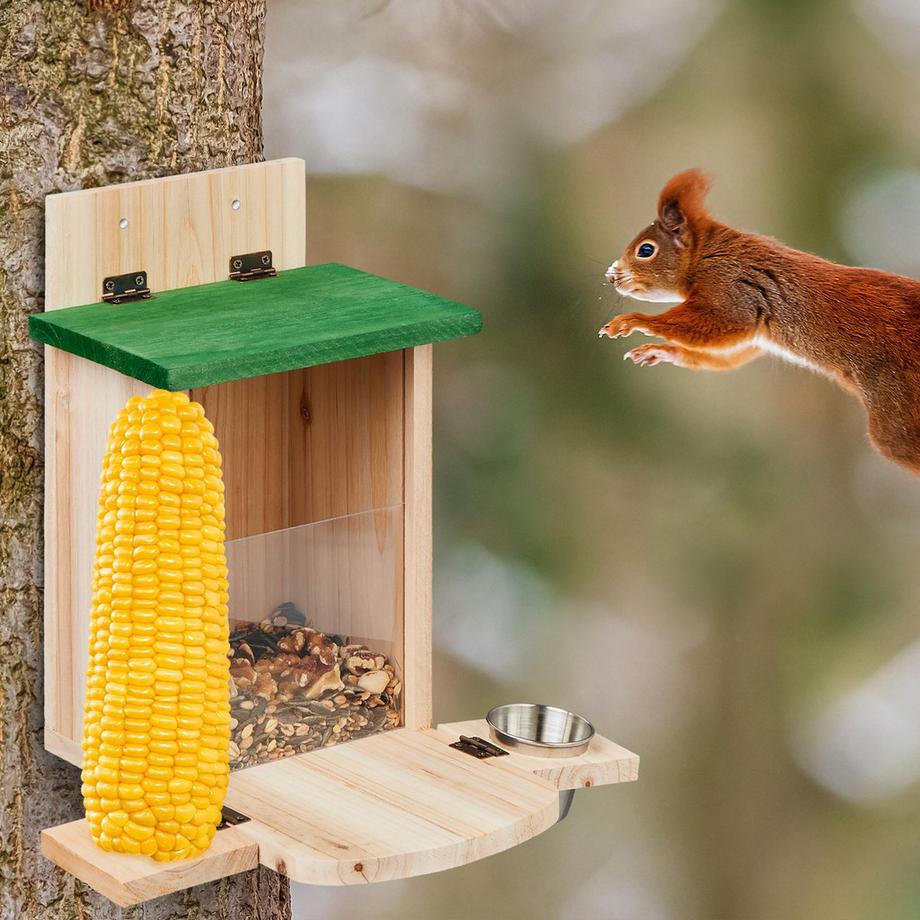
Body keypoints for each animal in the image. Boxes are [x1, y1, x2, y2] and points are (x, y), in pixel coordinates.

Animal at [599, 169, 920, 473]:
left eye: (646, 250)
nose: (611, 275)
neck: (706, 254)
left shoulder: (733, 292)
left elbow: (715, 325)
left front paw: (632, 321)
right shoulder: (756, 337)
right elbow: (728, 357)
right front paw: (659, 351)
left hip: (897, 415)